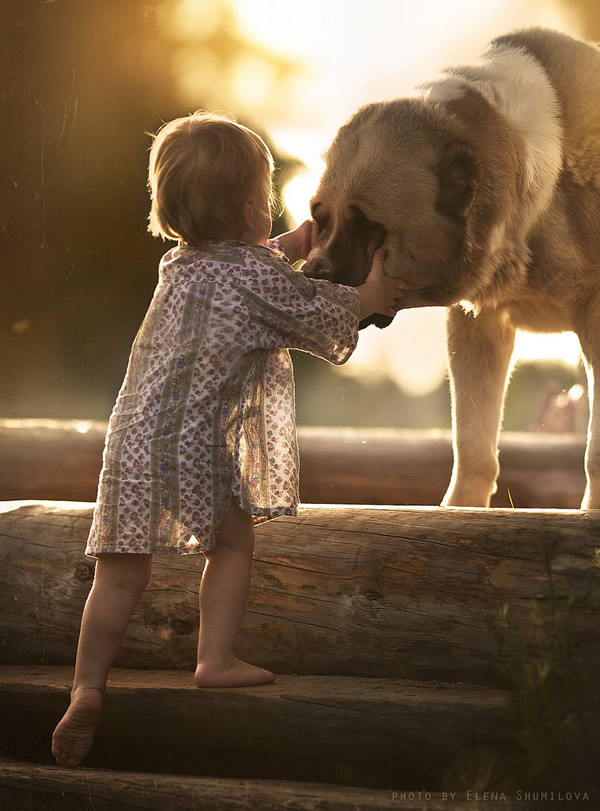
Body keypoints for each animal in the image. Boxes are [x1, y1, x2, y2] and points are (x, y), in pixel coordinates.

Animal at [304, 28, 600, 510]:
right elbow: (473, 440)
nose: (312, 277)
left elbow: (594, 449)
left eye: (370, 227)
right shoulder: (478, 325)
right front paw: (461, 511)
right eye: (319, 218)